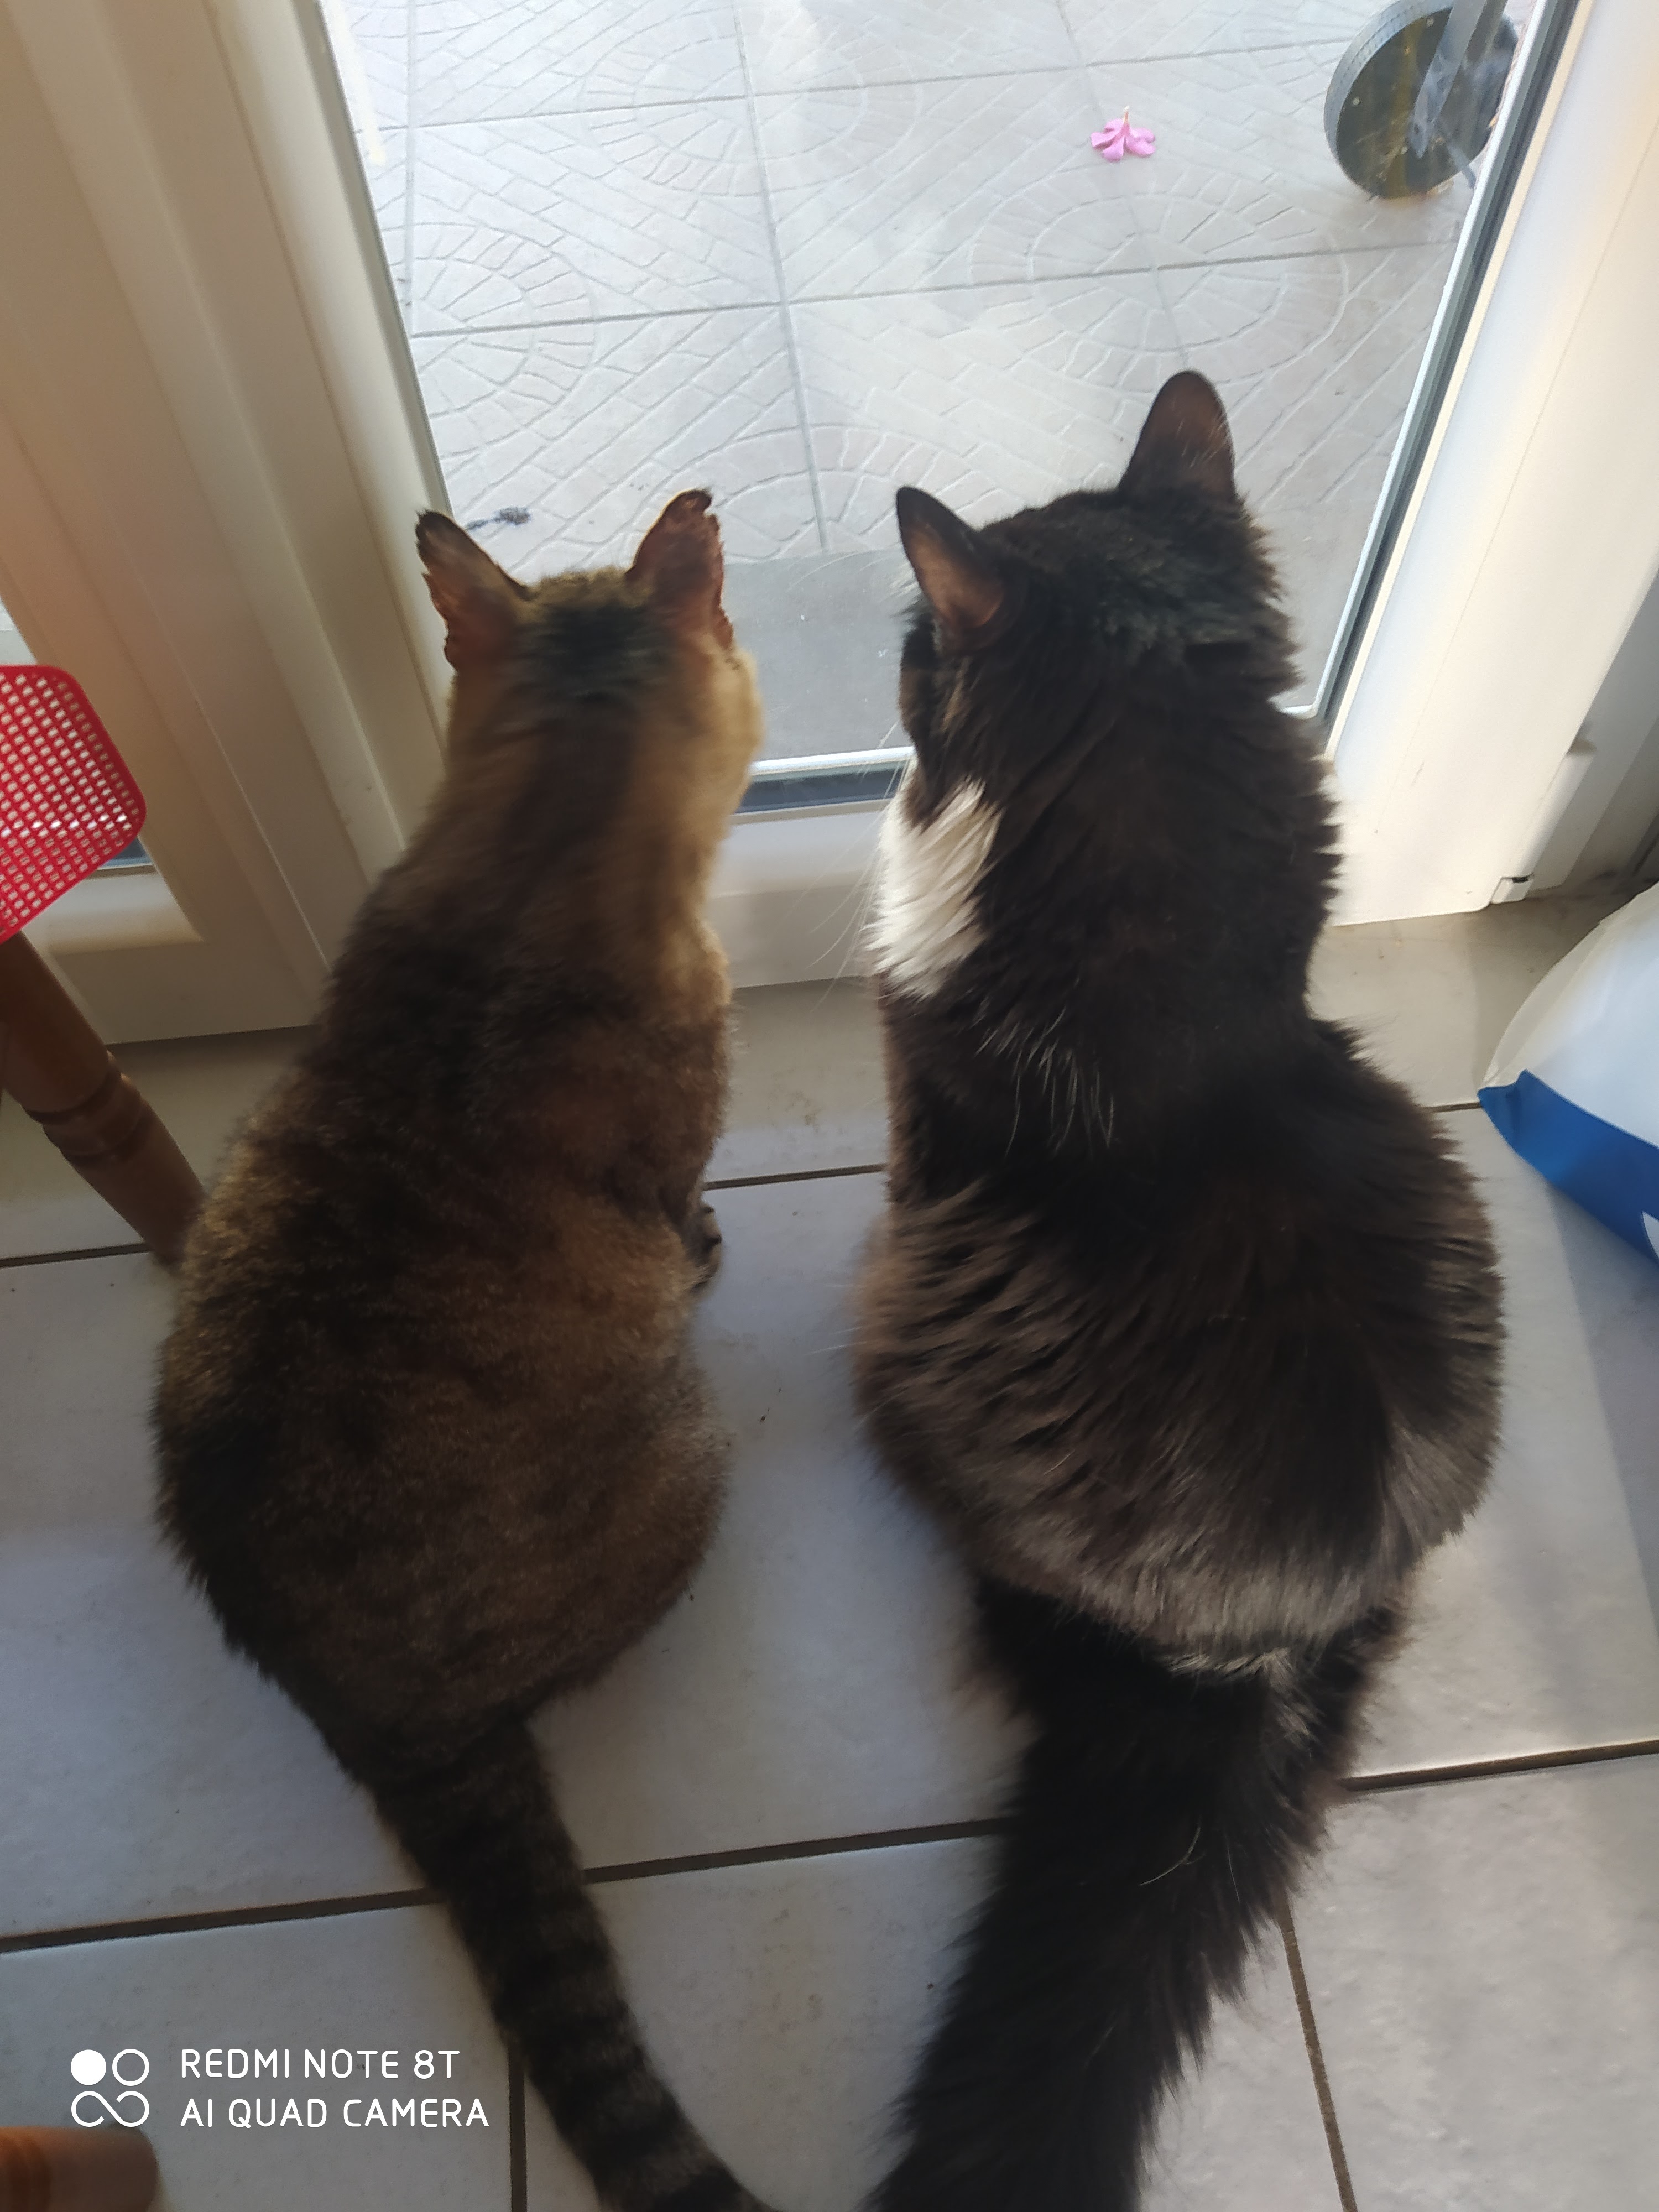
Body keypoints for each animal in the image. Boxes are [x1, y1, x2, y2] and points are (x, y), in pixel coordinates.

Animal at [156, 492, 773, 2212]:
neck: (532, 851)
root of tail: (378, 1713)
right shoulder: (670, 1163)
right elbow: (687, 1211)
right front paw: (709, 1249)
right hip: (697, 1449)